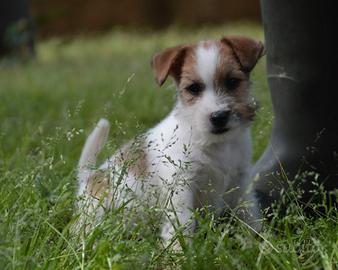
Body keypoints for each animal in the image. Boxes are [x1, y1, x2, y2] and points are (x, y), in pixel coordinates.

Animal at [76, 35, 264, 247]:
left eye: (232, 81)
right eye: (193, 88)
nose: (218, 116)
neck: (215, 144)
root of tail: (88, 177)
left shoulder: (241, 182)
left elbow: (249, 214)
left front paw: (258, 243)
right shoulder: (181, 186)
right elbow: (183, 223)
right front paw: (179, 251)